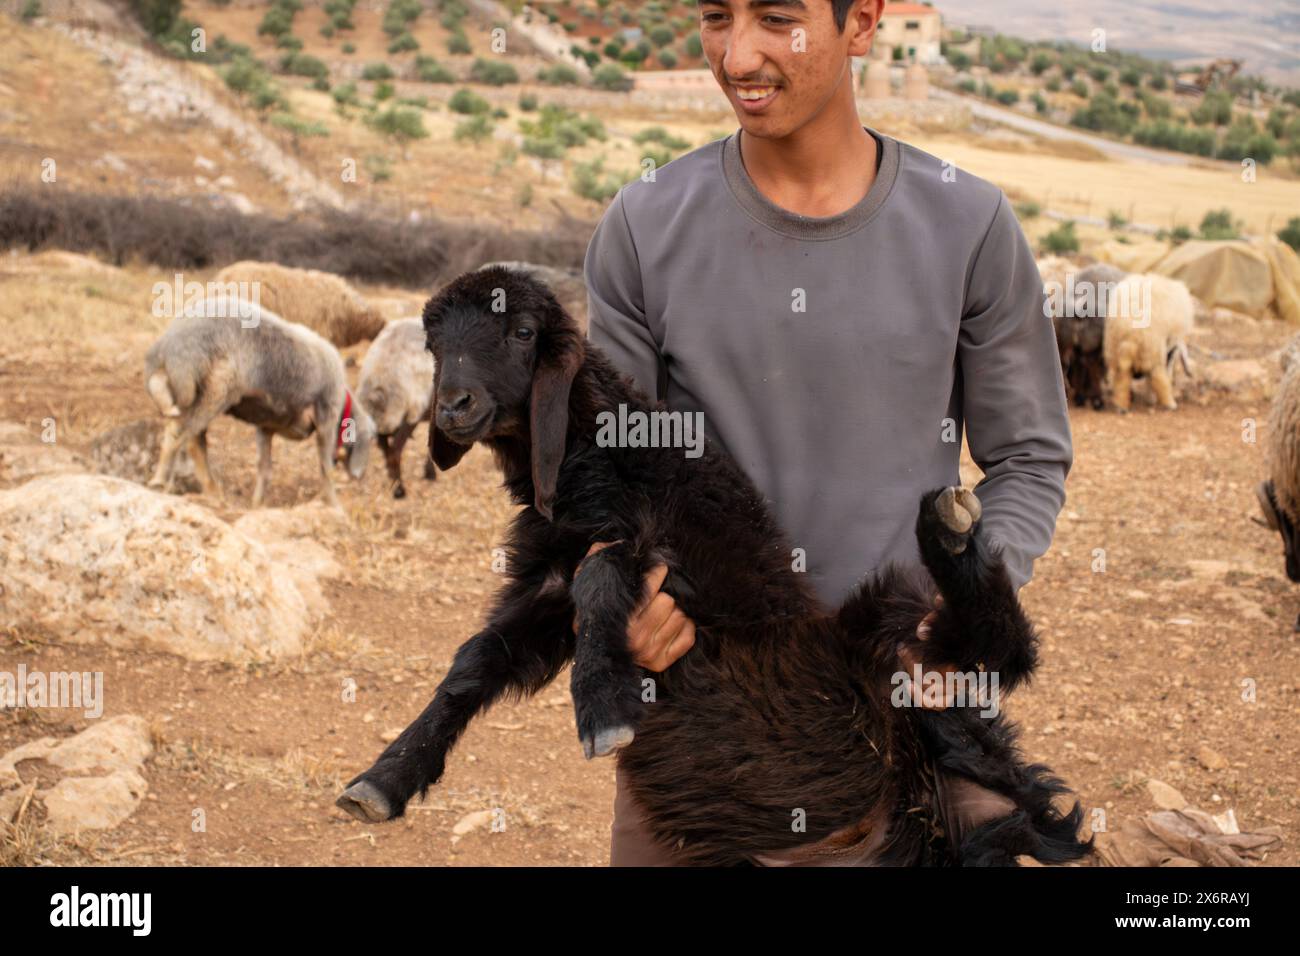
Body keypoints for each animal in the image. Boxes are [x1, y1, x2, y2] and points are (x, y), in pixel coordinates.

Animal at [144, 296, 376, 507]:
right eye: (372, 439)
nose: (359, 476)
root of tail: (167, 348)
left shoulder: (266, 426)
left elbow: (264, 468)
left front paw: (257, 505)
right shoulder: (326, 419)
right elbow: (325, 468)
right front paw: (335, 506)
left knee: (194, 440)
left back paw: (213, 492)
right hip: (217, 388)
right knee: (179, 432)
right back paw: (161, 481)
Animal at [356, 318, 437, 499]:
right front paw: (430, 472)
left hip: (384, 422)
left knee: (387, 452)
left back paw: (394, 484)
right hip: (410, 410)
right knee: (395, 452)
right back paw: (400, 490)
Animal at [1103, 272, 1195, 412]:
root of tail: (1129, 330)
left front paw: (1150, 398)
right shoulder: (1168, 346)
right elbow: (1161, 373)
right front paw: (1152, 398)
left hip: (1117, 346)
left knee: (1122, 376)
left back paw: (1121, 406)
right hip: (1153, 346)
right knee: (1158, 375)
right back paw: (1170, 404)